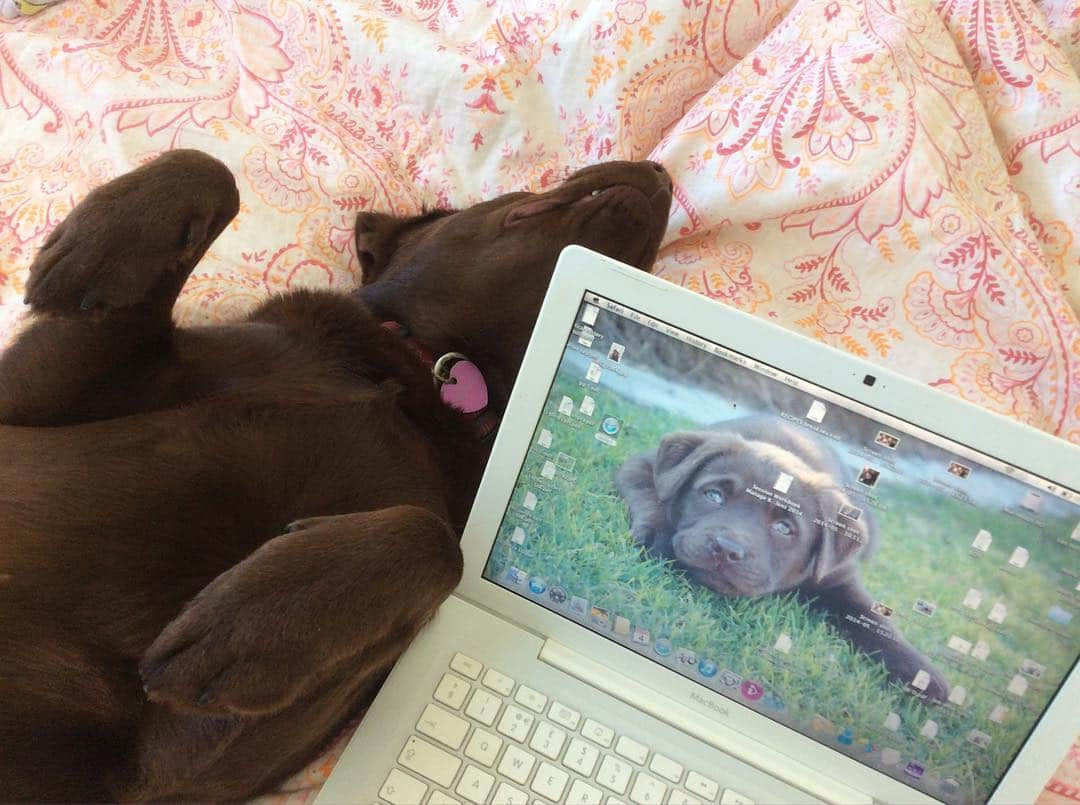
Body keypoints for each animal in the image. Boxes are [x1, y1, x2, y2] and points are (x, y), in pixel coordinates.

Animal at [0, 149, 669, 799]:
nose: (661, 171)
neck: (430, 382)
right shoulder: (31, 398)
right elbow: (210, 171)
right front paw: (89, 252)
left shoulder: (166, 772)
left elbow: (436, 544)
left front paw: (247, 629)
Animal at [613, 417, 950, 700]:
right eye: (713, 496)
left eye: (784, 528)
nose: (726, 548)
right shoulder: (642, 464)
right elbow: (652, 495)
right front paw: (657, 534)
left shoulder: (838, 576)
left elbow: (872, 619)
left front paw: (923, 677)